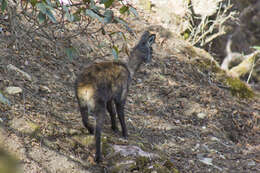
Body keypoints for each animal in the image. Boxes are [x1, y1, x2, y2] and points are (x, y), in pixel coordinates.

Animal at [74, 31, 155, 163]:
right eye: (151, 49)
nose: (151, 59)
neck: (130, 70)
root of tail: (85, 87)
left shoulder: (109, 98)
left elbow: (112, 112)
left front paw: (114, 128)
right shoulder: (121, 96)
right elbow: (120, 114)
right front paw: (125, 133)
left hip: (81, 103)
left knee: (85, 120)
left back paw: (90, 130)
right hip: (98, 104)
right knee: (98, 131)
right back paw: (98, 157)